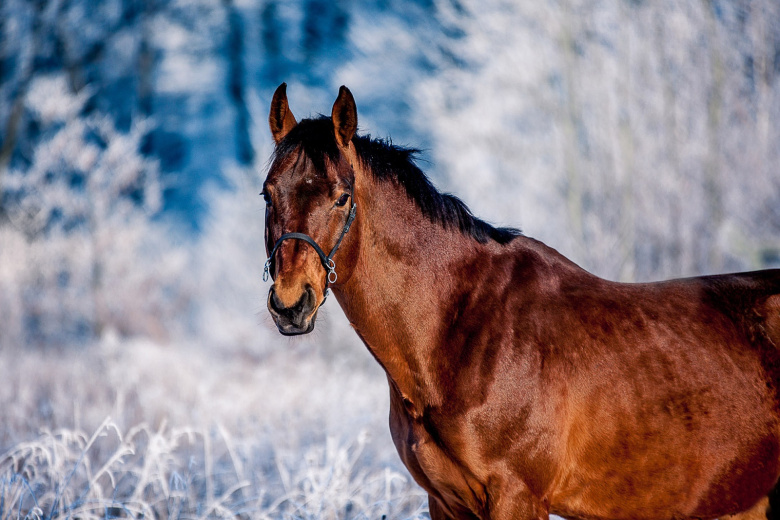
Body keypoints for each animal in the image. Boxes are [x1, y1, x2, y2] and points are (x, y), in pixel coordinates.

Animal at [261, 83, 780, 520]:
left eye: (342, 197)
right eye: (268, 194)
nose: (291, 304)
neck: (458, 330)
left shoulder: (517, 498)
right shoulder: (445, 503)